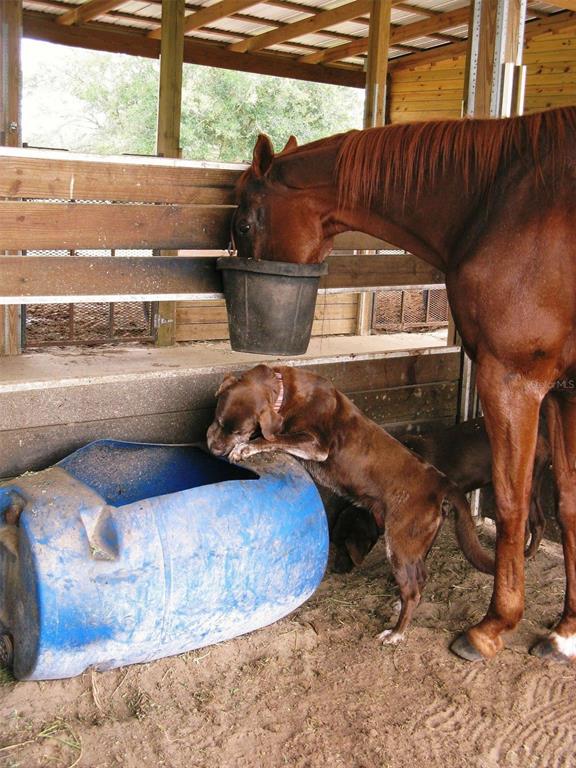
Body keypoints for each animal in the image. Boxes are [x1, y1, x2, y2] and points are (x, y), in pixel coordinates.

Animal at [232, 106, 576, 662]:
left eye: (244, 221)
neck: (501, 200)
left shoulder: (512, 378)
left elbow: (510, 503)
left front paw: (494, 625)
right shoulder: (565, 391)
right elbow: (568, 505)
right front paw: (566, 631)